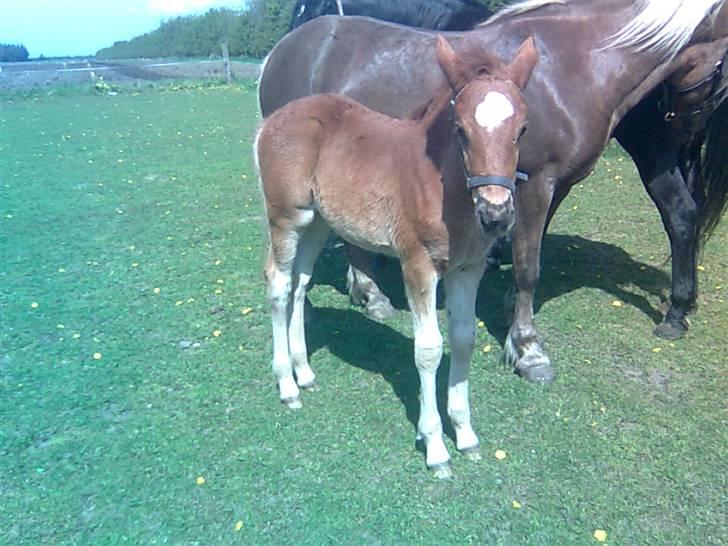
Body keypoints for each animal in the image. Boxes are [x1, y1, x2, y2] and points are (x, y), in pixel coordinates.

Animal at [256, 35, 536, 476]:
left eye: (522, 129)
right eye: (461, 130)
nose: (496, 214)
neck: (444, 187)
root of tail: (271, 121)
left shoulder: (468, 269)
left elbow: (464, 338)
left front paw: (465, 434)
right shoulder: (417, 264)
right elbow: (428, 349)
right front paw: (435, 446)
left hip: (318, 222)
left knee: (301, 283)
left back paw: (304, 372)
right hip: (288, 216)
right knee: (279, 283)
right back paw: (286, 384)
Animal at [260, 0, 728, 382]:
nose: (682, 131)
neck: (577, 64)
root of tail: (283, 50)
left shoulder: (549, 184)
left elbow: (525, 251)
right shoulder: (536, 181)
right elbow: (528, 266)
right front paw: (528, 350)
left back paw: (370, 295)